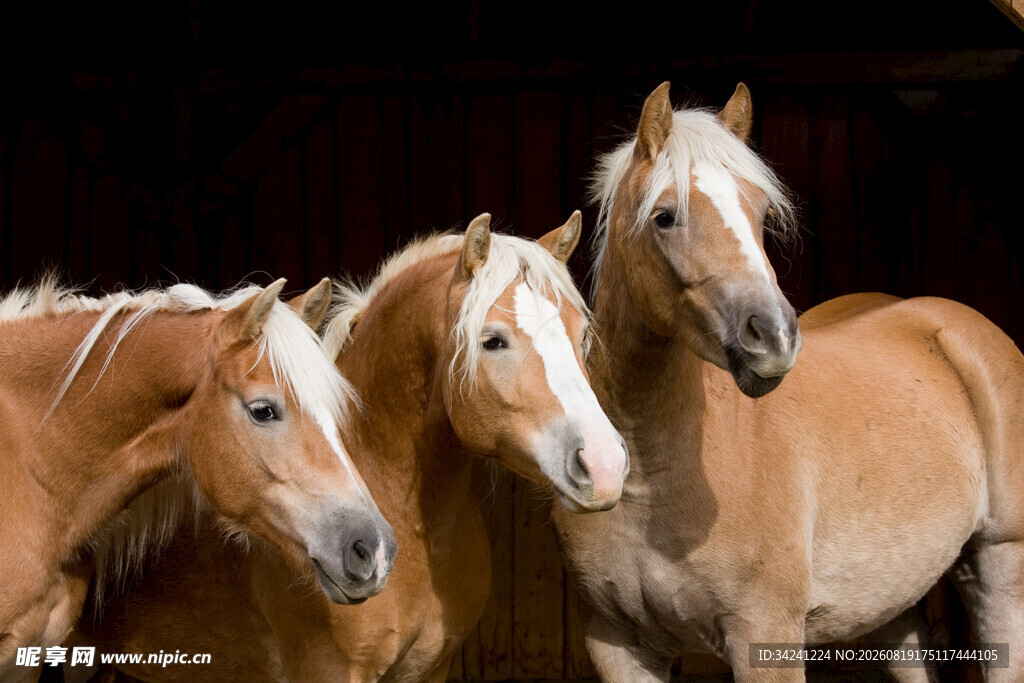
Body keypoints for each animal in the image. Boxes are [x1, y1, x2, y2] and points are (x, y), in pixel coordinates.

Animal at [552, 81, 1024, 682]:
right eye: (664, 216)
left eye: (758, 210)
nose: (772, 336)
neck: (650, 475)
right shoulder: (619, 646)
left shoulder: (765, 634)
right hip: (890, 604)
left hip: (1000, 560)